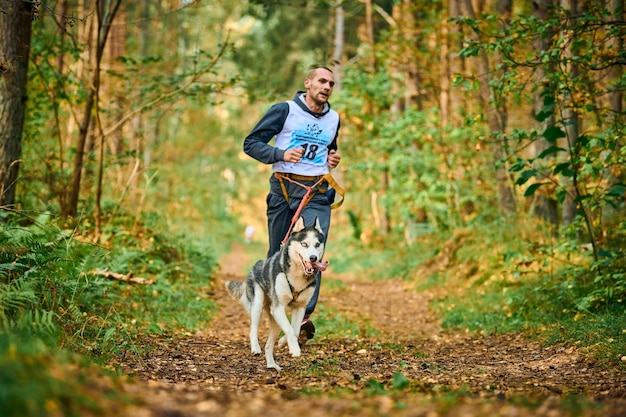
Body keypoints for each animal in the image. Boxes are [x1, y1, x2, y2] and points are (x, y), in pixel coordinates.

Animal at [224, 216, 326, 368]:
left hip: (272, 315)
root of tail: (255, 266)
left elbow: (295, 330)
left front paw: (285, 342)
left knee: (272, 336)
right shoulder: (278, 307)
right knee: (253, 328)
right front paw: (294, 348)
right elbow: (289, 328)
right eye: (304, 244)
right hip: (258, 304)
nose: (313, 258)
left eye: (317, 245)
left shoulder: (300, 307)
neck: (297, 275)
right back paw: (256, 348)